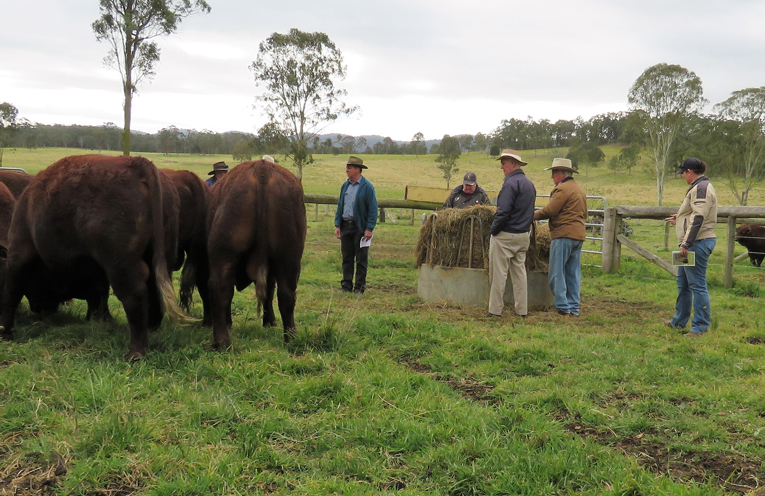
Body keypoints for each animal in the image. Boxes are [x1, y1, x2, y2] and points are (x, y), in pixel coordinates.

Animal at [0, 154, 185, 360]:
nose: (40, 308)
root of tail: (137, 164)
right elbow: (99, 293)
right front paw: (101, 320)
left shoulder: (20, 250)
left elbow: (12, 290)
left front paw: (5, 332)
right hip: (160, 255)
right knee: (154, 289)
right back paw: (152, 330)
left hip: (120, 263)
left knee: (134, 294)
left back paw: (135, 352)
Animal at [206, 159, 306, 348]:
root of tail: (262, 166)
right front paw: (270, 321)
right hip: (289, 255)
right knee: (286, 294)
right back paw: (291, 338)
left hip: (225, 253)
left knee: (221, 288)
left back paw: (221, 341)